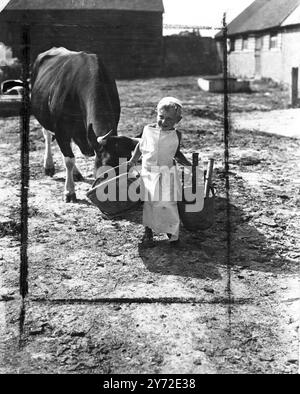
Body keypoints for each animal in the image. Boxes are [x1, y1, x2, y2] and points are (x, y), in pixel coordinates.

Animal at [30, 48, 138, 203]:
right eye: (106, 165)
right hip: (44, 116)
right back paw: (49, 166)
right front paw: (69, 192)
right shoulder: (61, 131)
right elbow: (68, 160)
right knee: (47, 136)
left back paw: (75, 173)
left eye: (127, 163)